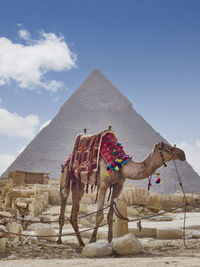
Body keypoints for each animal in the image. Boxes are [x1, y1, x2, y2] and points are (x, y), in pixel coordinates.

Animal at [56, 141, 186, 248]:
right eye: (169, 148)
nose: (183, 154)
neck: (121, 165)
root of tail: (69, 157)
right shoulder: (103, 185)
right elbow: (99, 215)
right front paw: (92, 240)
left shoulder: (118, 185)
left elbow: (110, 215)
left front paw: (110, 240)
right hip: (66, 172)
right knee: (64, 195)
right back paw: (59, 240)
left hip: (79, 183)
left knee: (74, 209)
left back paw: (81, 242)